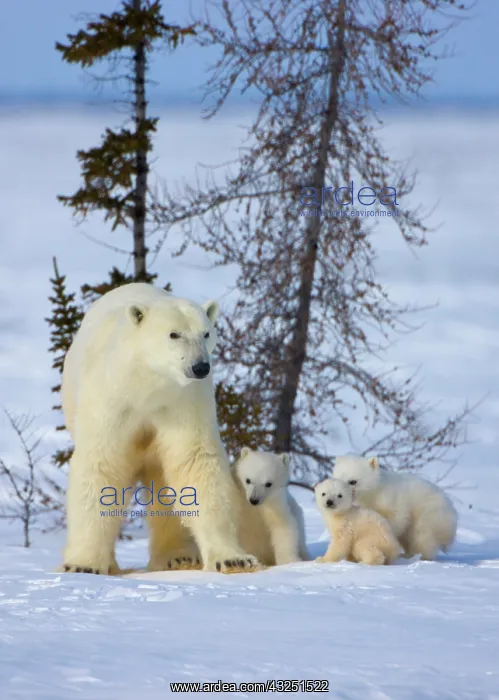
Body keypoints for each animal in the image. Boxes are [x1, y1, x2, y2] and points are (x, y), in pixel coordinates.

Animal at [60, 282, 259, 575]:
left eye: (206, 333)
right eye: (174, 334)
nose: (200, 366)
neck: (148, 386)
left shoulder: (182, 403)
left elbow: (194, 462)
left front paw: (233, 560)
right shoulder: (112, 401)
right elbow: (101, 465)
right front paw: (83, 565)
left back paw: (178, 557)